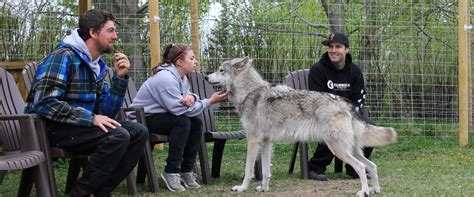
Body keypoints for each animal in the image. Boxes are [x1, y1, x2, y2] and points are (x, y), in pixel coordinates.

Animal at [207, 56, 396, 195]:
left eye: (221, 70)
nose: (206, 77)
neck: (249, 92)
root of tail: (344, 103)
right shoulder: (266, 142)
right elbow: (266, 172)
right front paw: (264, 188)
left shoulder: (253, 141)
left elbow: (248, 170)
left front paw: (242, 188)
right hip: (351, 149)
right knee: (372, 166)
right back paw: (375, 190)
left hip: (338, 149)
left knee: (361, 167)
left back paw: (364, 191)